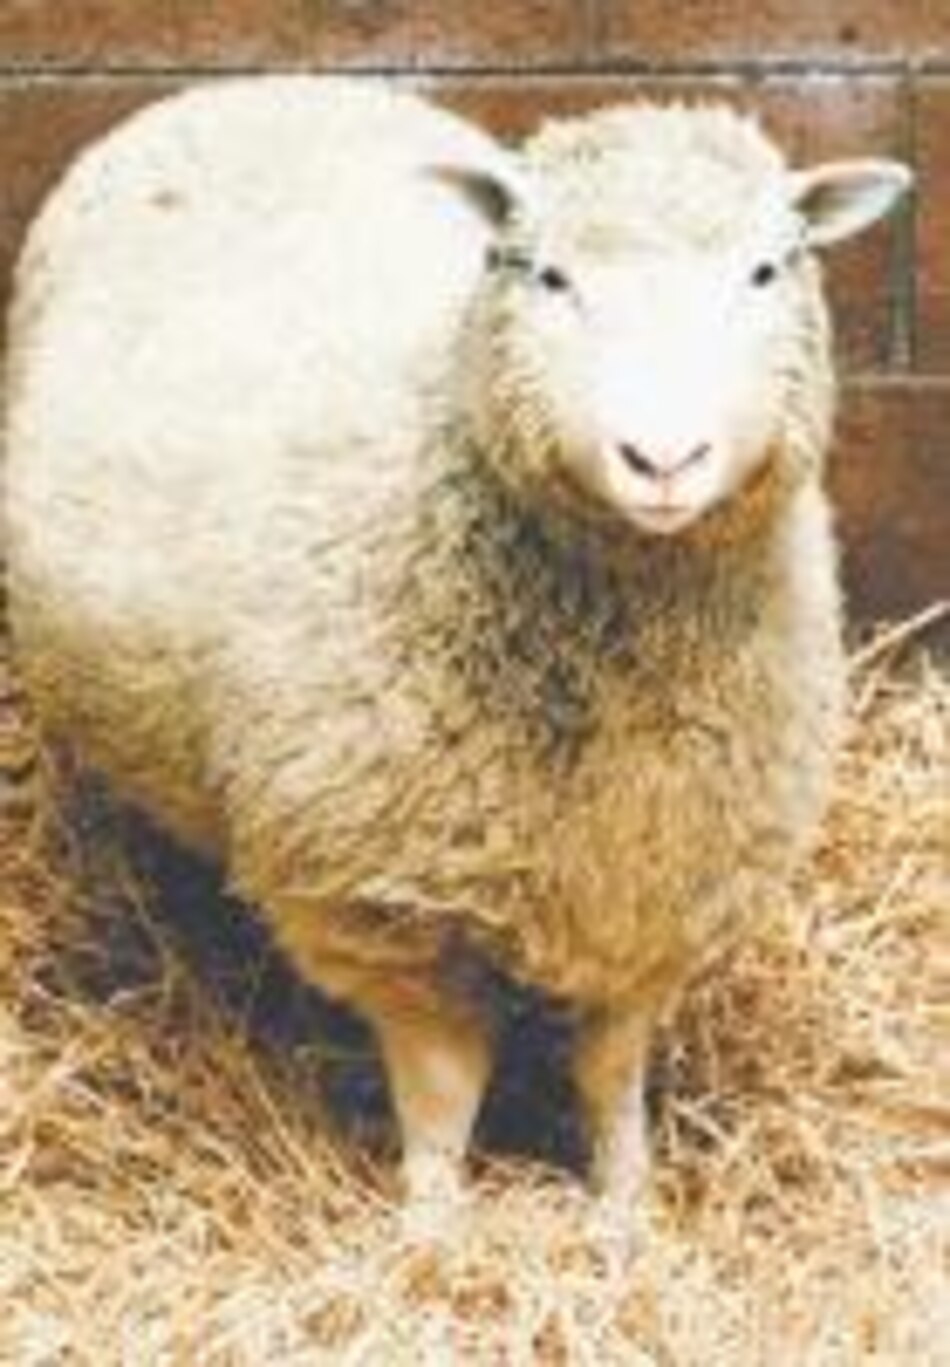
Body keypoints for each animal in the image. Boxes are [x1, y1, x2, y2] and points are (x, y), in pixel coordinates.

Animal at [3, 76, 911, 1231]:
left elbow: (610, 1070)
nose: (662, 458)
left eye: (766, 268)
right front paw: (435, 1225)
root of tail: (253, 85)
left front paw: (627, 1211)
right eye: (547, 273)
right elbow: (444, 1088)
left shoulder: (659, 881)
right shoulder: (385, 904)